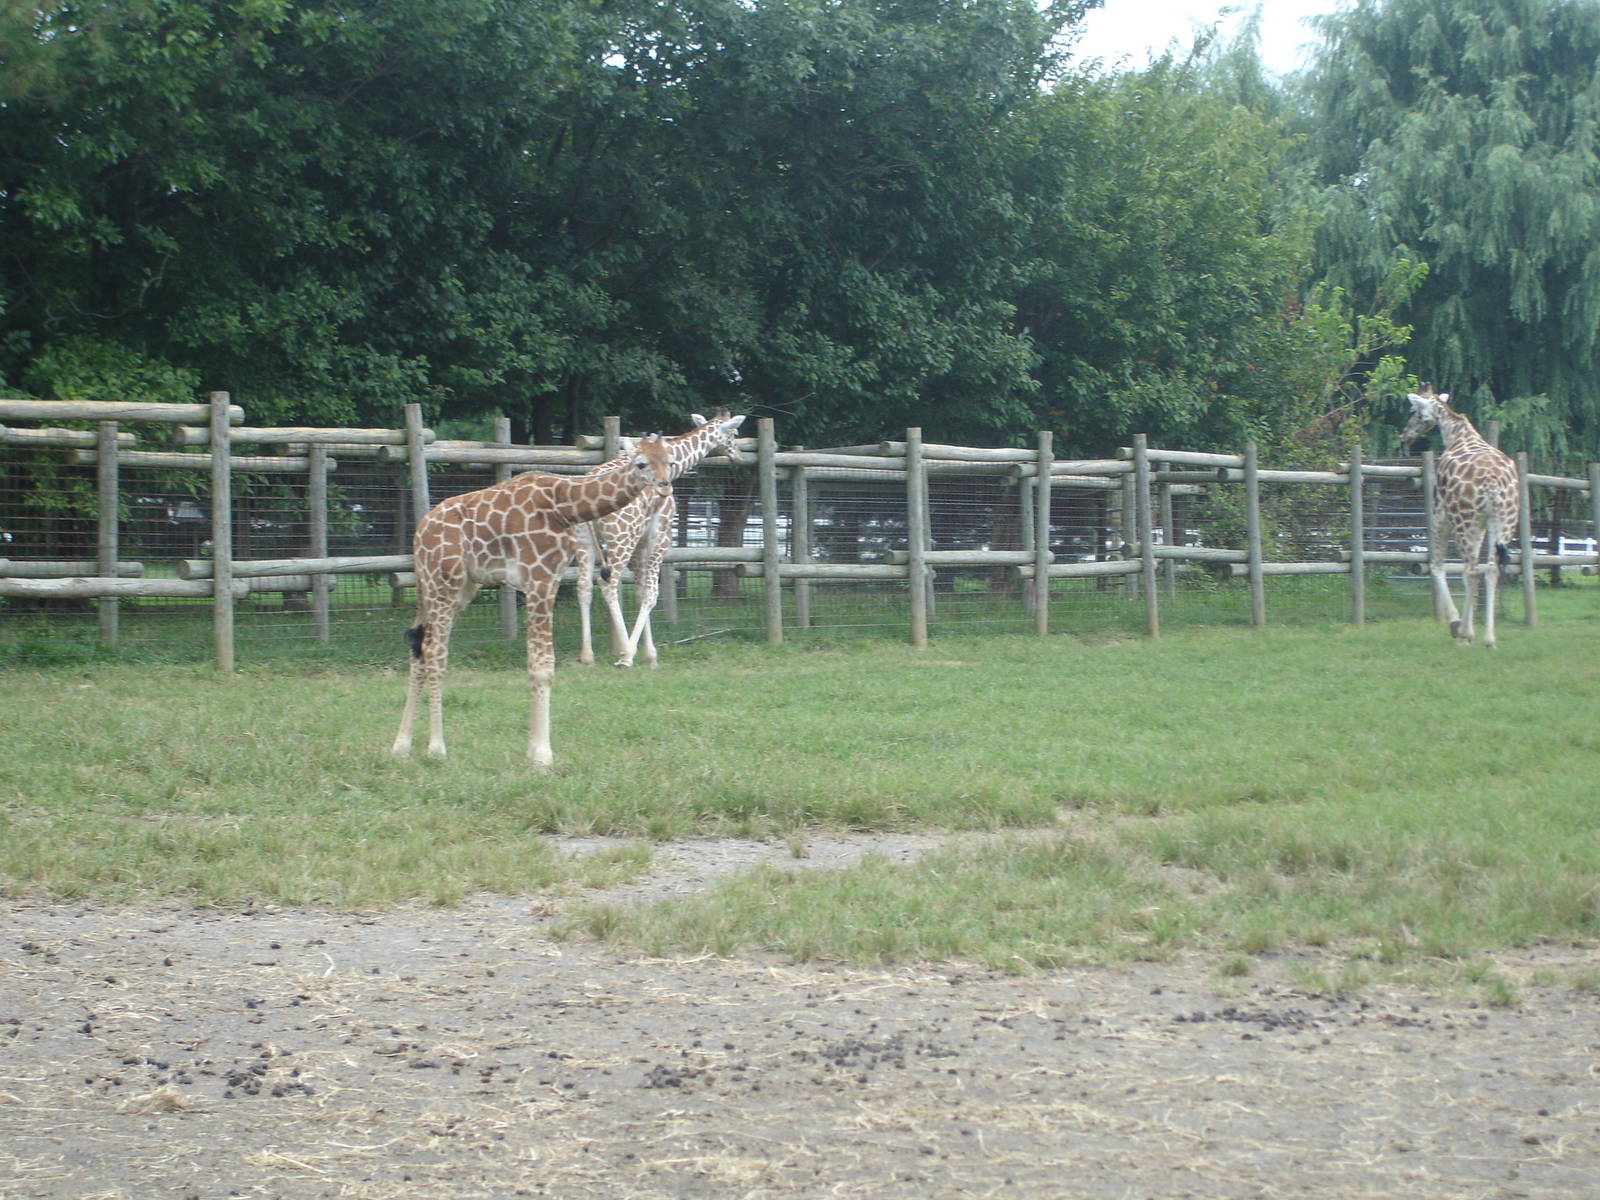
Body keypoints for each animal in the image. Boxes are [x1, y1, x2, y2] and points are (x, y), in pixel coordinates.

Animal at [391, 432, 672, 767]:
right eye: (641, 463)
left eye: (669, 461)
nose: (664, 486)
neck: (564, 504)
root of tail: (420, 531)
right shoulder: (538, 580)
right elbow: (541, 666)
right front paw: (541, 756)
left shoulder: (551, 579)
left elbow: (543, 665)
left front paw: (536, 752)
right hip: (444, 581)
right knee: (435, 651)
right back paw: (436, 747)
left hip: (453, 588)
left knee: (418, 647)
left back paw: (401, 745)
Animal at [574, 409, 746, 668]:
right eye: (734, 433)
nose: (738, 455)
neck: (674, 464)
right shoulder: (660, 535)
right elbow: (651, 594)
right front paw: (638, 653)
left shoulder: (641, 540)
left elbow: (639, 592)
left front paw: (649, 654)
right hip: (620, 539)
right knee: (607, 583)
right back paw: (624, 653)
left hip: (584, 541)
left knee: (584, 585)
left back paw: (587, 655)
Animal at [1403, 385, 1521, 647]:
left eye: (1414, 410)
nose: (1405, 435)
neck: (1457, 434)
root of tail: (1492, 483)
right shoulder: (1484, 524)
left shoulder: (1440, 513)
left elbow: (1437, 566)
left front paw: (1456, 624)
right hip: (1503, 521)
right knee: (1490, 568)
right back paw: (1489, 639)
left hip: (1463, 521)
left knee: (1471, 570)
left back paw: (1465, 634)